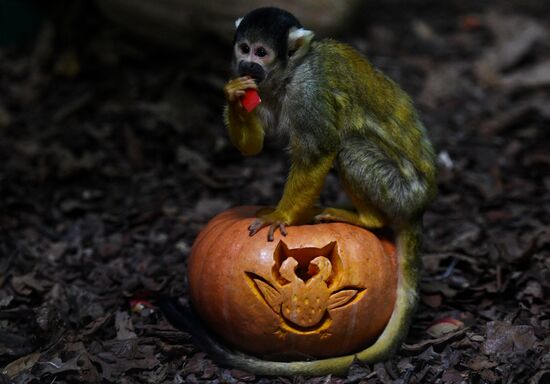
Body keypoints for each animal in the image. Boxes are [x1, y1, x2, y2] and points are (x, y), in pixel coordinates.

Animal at [163, 6, 436, 378]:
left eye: (262, 52)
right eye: (244, 49)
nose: (247, 65)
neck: (287, 74)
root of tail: (420, 205)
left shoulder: (309, 94)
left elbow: (320, 151)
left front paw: (281, 216)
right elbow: (253, 145)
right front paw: (234, 94)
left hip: (401, 190)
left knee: (349, 147)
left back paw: (368, 219)